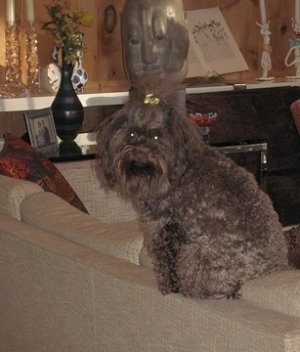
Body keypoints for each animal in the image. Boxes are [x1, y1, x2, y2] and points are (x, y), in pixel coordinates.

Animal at [97, 80, 292, 300]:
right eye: (132, 134)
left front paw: (168, 288)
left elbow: (166, 263)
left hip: (193, 256)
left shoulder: (163, 226)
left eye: (155, 136)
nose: (139, 154)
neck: (176, 167)